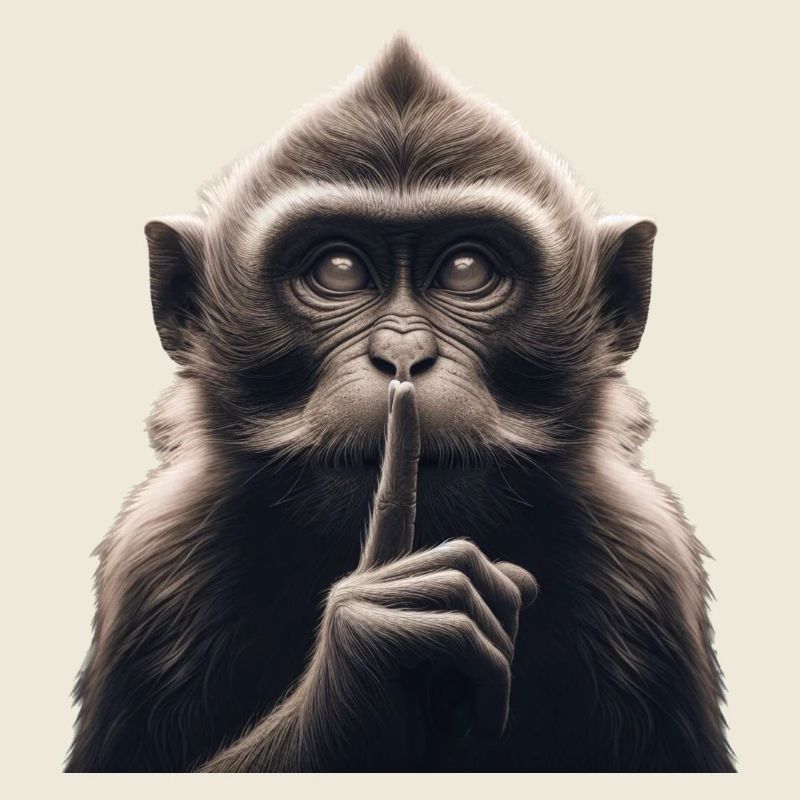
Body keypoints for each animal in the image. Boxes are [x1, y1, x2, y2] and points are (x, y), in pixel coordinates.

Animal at [66, 35, 734, 772]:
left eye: (468, 270)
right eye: (338, 270)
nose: (403, 354)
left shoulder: (648, 562)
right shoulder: (155, 559)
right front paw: (373, 649)